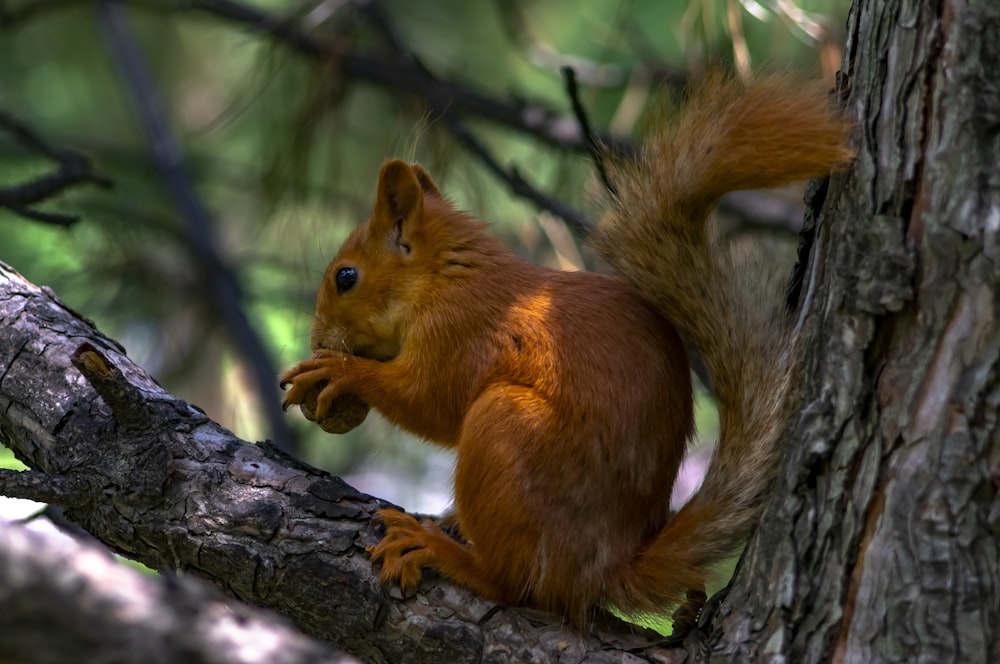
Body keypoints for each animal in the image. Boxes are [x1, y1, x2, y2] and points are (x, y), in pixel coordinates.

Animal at [282, 75, 852, 632]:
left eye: (346, 277)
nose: (317, 339)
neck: (446, 277)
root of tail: (601, 570)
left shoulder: (459, 332)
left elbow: (431, 402)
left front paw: (341, 370)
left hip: (506, 429)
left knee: (513, 583)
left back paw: (445, 551)